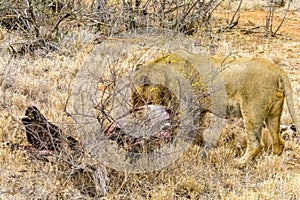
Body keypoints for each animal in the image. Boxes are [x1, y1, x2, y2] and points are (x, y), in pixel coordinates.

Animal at [133, 50, 300, 166]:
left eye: (134, 95)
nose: (134, 109)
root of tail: (277, 70)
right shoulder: (199, 111)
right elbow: (197, 132)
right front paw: (201, 146)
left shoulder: (187, 108)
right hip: (273, 113)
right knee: (279, 142)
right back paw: (271, 160)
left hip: (252, 111)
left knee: (256, 144)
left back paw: (238, 163)